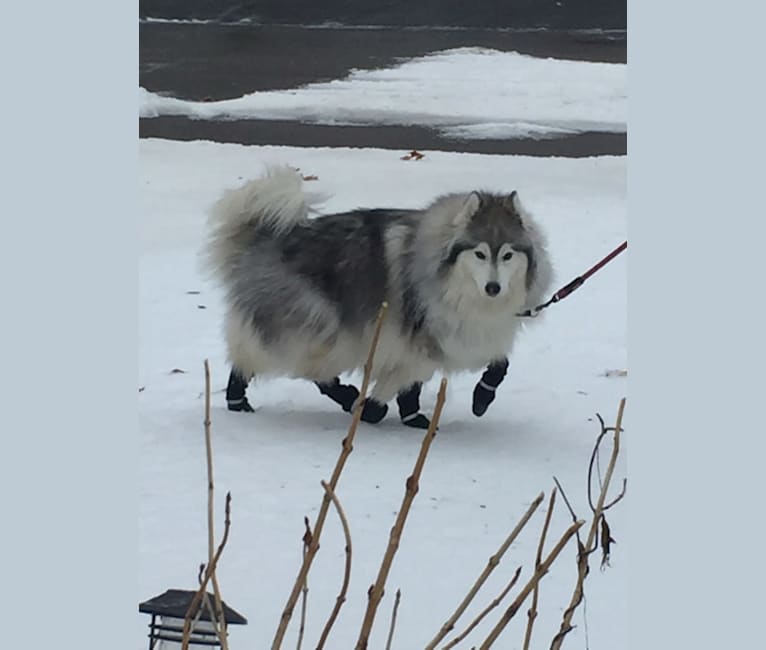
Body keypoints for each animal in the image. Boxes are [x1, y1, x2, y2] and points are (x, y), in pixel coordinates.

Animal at [204, 167, 552, 426]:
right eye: (479, 254)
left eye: (507, 255)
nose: (493, 288)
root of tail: (261, 239)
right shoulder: (431, 335)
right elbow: (406, 378)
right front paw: (376, 408)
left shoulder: (452, 336)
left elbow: (497, 364)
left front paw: (473, 399)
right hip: (322, 327)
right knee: (304, 367)